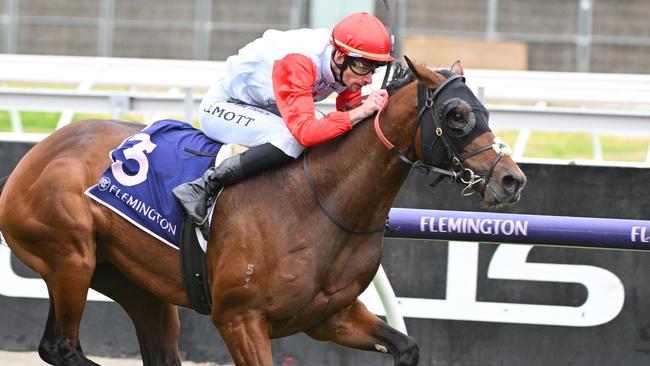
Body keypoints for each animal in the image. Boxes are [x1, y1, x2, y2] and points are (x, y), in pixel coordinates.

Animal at [0, 58, 524, 364]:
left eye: (486, 110)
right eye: (457, 115)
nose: (511, 179)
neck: (321, 202)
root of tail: (35, 155)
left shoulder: (330, 316)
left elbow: (407, 346)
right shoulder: (240, 319)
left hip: (135, 285)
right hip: (70, 258)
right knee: (60, 347)